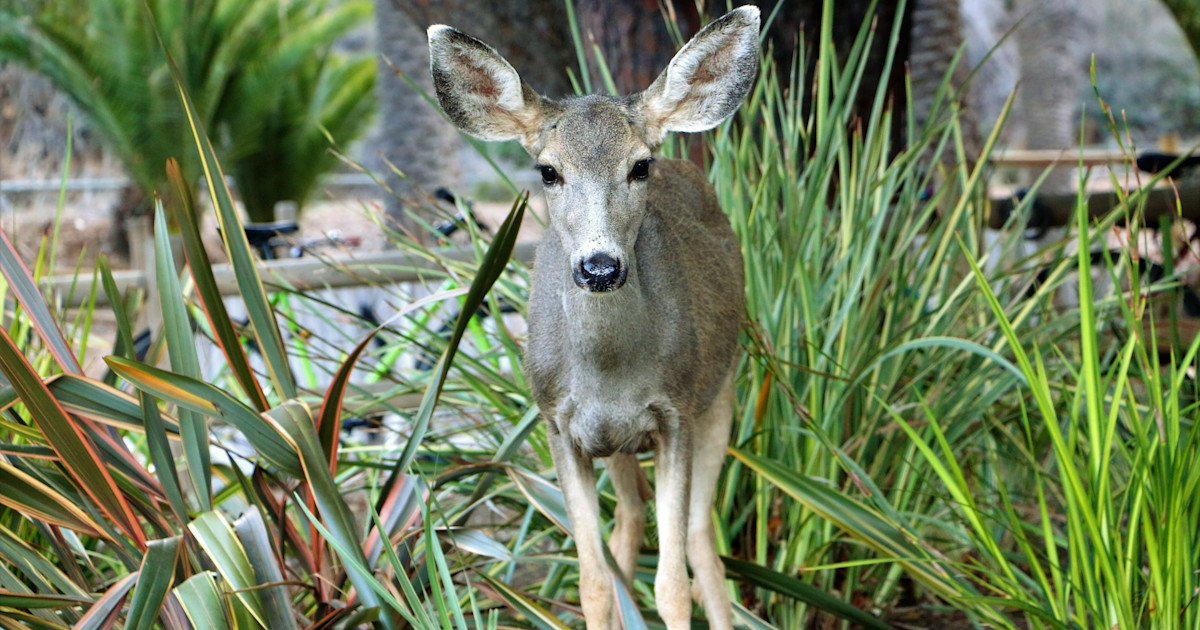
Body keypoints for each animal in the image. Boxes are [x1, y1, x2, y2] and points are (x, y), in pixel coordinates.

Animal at [428, 7, 759, 629]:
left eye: (640, 166)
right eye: (547, 171)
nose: (600, 267)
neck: (609, 373)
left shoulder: (676, 414)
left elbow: (672, 585)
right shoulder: (560, 424)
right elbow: (592, 581)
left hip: (723, 387)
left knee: (700, 536)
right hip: (618, 444)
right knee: (628, 523)